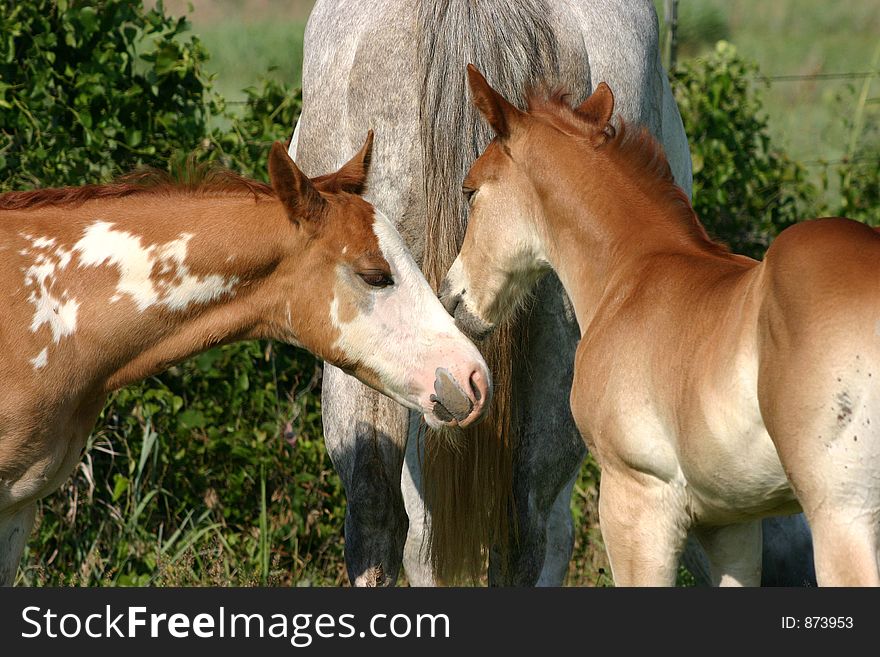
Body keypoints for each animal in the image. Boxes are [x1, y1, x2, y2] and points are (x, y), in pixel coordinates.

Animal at [444, 66, 880, 588]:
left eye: (471, 191)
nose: (451, 297)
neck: (634, 272)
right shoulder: (732, 522)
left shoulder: (637, 497)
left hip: (841, 516)